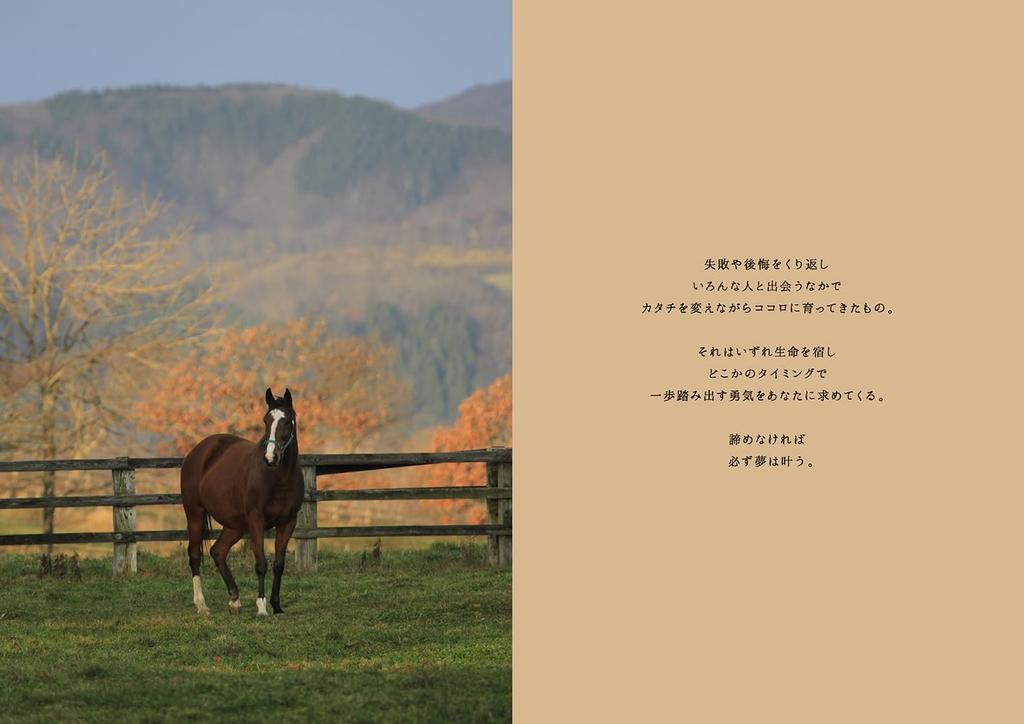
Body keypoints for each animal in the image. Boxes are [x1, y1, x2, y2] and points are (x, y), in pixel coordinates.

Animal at [181, 387, 304, 616]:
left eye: (287, 421)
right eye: (266, 420)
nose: (270, 457)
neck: (279, 479)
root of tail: (198, 451)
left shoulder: (288, 523)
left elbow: (279, 564)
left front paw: (277, 605)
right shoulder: (256, 521)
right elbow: (261, 564)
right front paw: (262, 607)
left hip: (235, 525)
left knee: (218, 551)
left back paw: (234, 600)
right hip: (195, 513)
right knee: (194, 555)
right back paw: (202, 605)